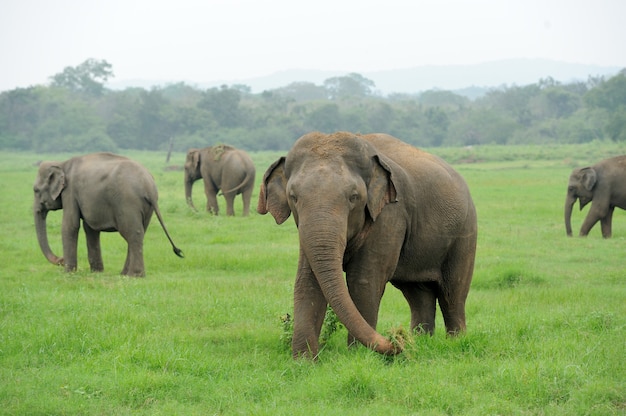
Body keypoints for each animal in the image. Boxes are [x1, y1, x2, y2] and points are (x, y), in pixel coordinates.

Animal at [33, 152, 183, 276]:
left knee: (133, 233)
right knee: (138, 233)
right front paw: (96, 272)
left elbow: (70, 225)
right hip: (147, 207)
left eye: (35, 190)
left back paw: (134, 275)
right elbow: (90, 229)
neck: (62, 163)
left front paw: (68, 273)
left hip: (127, 202)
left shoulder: (70, 192)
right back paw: (124, 274)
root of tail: (149, 186)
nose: (61, 260)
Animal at [256, 132, 476, 360]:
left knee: (452, 294)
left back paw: (455, 342)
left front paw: (359, 356)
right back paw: (421, 341)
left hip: (465, 233)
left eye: (354, 197)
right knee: (417, 294)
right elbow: (307, 280)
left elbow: (364, 280)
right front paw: (304, 361)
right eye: (293, 197)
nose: (397, 339)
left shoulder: (390, 214)